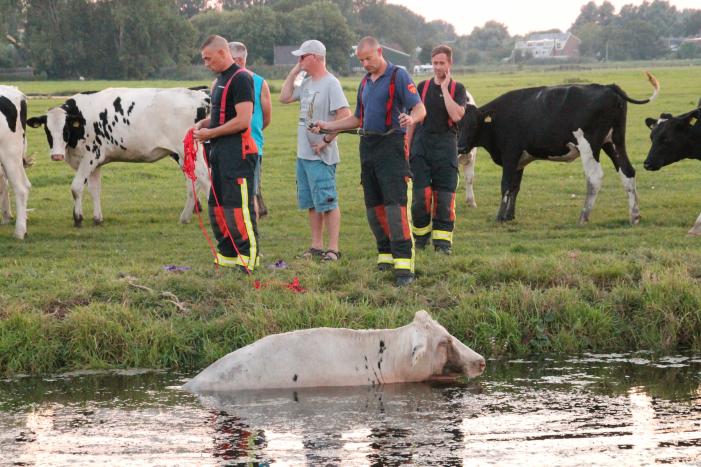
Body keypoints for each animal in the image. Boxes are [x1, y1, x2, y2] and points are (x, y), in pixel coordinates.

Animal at [27, 88, 210, 227]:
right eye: (47, 130)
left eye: (66, 129)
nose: (57, 155)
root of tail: (199, 96)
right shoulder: (95, 163)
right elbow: (94, 190)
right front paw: (97, 218)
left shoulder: (90, 157)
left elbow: (76, 187)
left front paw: (78, 218)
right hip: (183, 155)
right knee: (193, 183)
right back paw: (185, 217)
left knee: (205, 178)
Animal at [458, 72, 660, 224]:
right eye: (457, 124)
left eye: (474, 124)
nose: (460, 146)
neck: (499, 118)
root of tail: (609, 87)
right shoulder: (521, 160)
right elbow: (515, 187)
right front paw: (509, 216)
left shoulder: (510, 155)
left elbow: (505, 185)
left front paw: (500, 217)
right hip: (613, 142)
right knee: (627, 172)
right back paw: (634, 216)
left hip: (589, 145)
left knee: (594, 177)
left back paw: (583, 216)